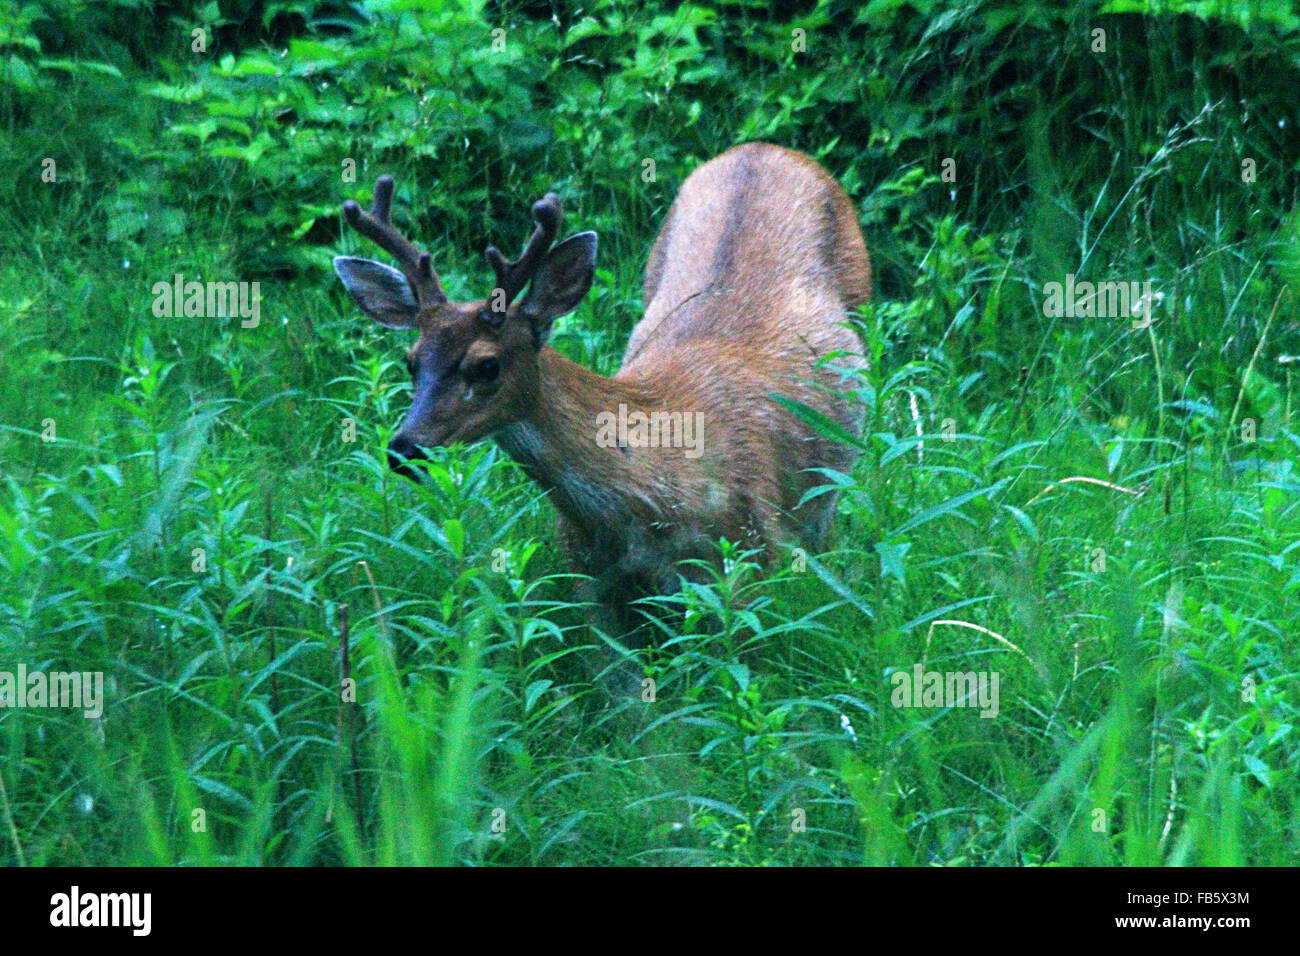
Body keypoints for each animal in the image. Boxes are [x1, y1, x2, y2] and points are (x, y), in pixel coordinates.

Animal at [333, 142, 871, 668]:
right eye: (410, 360)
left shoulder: (749, 556)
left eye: (486, 365)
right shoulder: (591, 581)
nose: (404, 448)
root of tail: (764, 147)